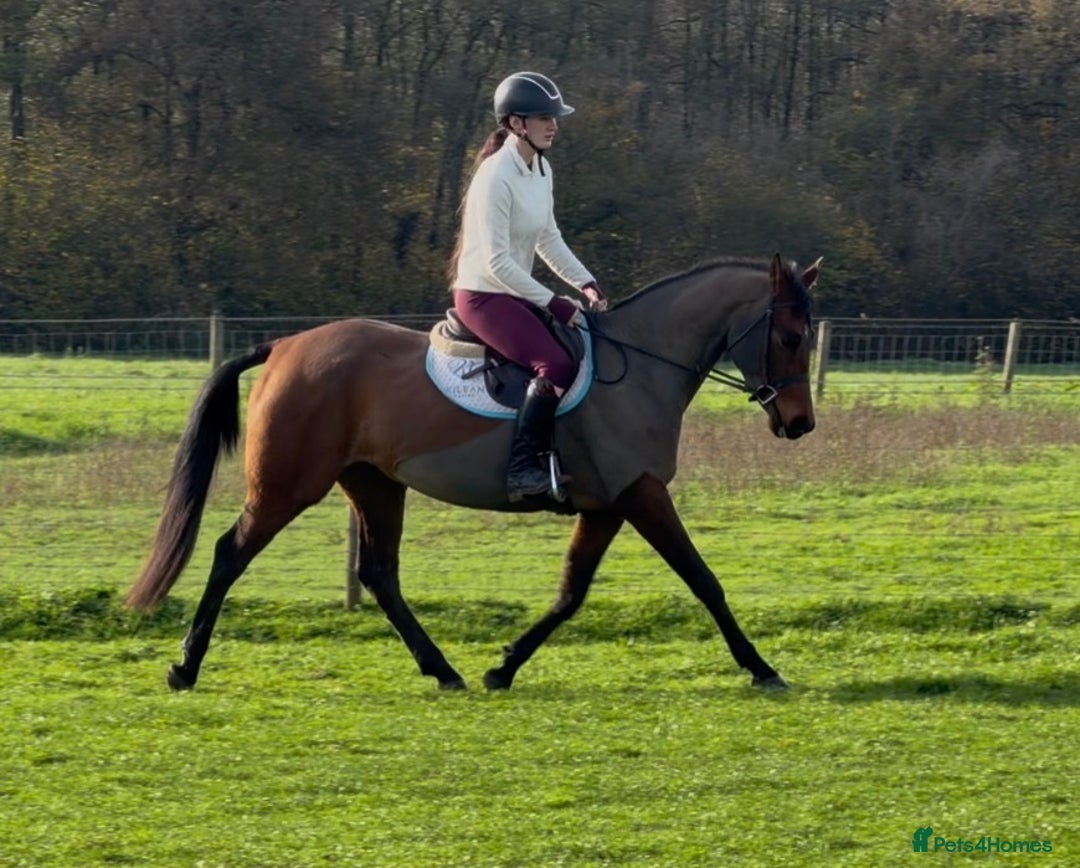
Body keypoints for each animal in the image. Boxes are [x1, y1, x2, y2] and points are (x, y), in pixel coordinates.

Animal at [127, 254, 821, 692]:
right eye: (789, 337)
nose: (800, 423)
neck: (641, 364)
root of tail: (285, 346)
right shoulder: (641, 495)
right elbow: (705, 582)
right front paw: (762, 668)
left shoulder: (605, 506)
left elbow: (570, 594)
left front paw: (504, 666)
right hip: (287, 487)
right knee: (229, 554)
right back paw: (185, 667)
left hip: (375, 484)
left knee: (379, 575)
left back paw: (444, 670)